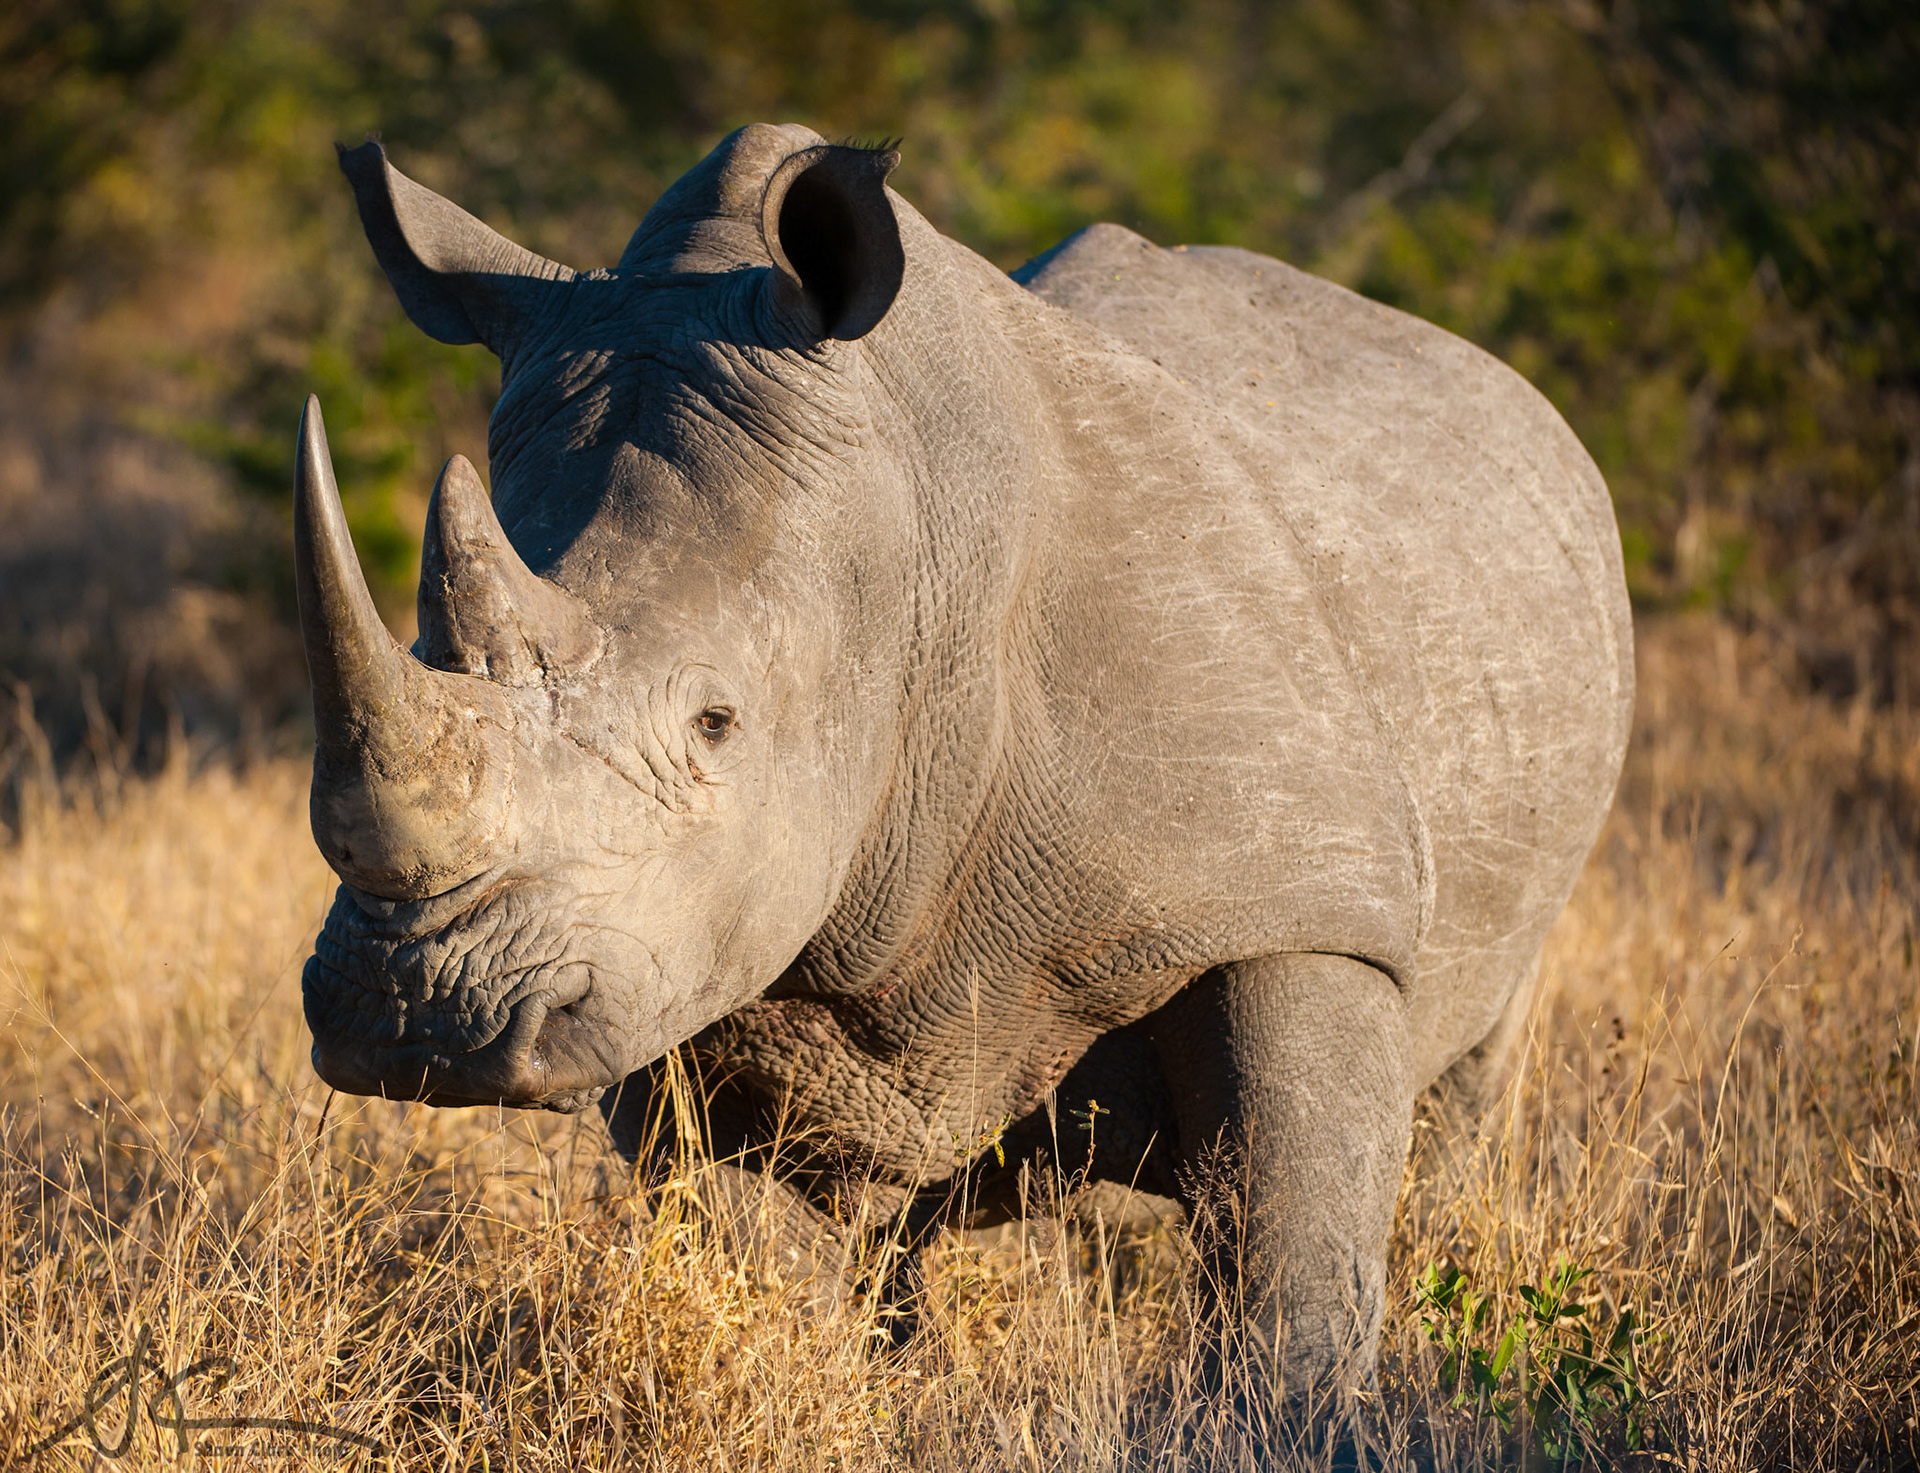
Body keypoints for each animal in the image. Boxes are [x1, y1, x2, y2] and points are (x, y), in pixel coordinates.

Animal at [297, 122, 1632, 1383]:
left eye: (716, 724)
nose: (417, 1016)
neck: (911, 548)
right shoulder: (672, 954)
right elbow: (744, 1260)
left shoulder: (1301, 889)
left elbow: (1289, 1253)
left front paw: (1295, 1417)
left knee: (1467, 1075)